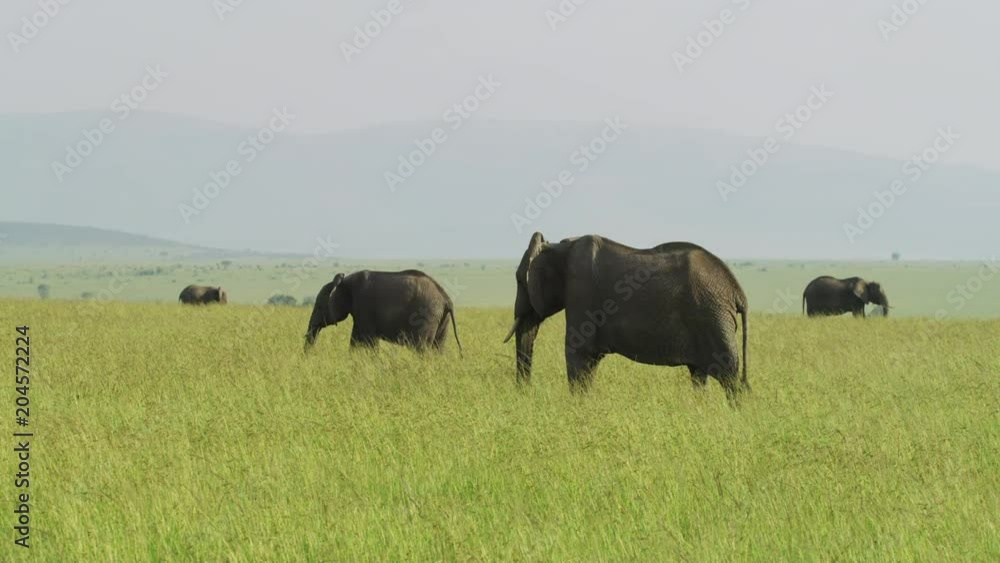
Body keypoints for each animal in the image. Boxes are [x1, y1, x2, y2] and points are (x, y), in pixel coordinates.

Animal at [304, 270, 463, 354]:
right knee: (438, 348)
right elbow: (355, 339)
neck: (345, 281)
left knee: (422, 348)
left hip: (426, 316)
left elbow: (369, 340)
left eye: (319, 306)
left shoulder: (364, 306)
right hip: (441, 318)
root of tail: (446, 298)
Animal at [503, 232, 750, 400]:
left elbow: (578, 352)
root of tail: (737, 291)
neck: (559, 248)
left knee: (729, 377)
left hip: (712, 318)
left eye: (519, 280)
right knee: (700, 375)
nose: (525, 394)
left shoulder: (580, 292)